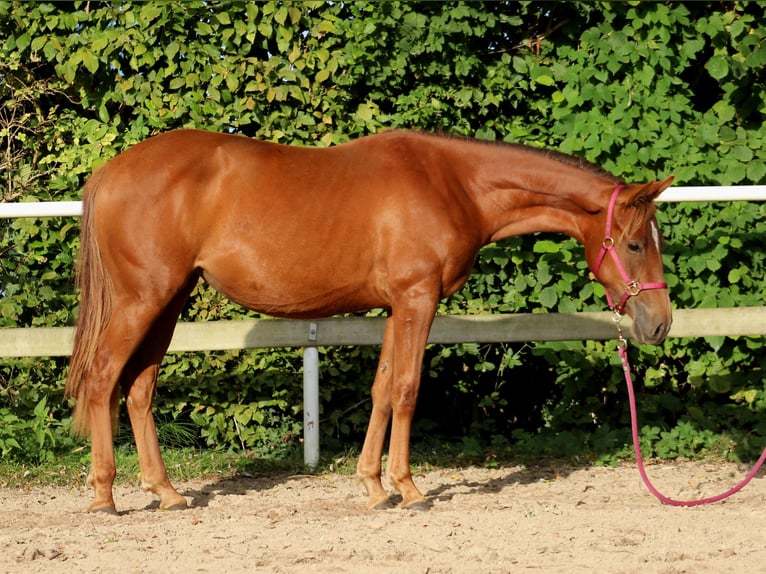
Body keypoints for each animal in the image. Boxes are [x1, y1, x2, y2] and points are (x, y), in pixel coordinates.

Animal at [66, 129, 672, 512]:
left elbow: (382, 388)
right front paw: (410, 489)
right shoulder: (418, 299)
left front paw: (375, 487)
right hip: (143, 299)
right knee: (102, 378)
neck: (454, 183)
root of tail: (112, 171)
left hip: (169, 301)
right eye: (635, 243)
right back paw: (104, 496)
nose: (659, 324)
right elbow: (406, 388)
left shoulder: (394, 306)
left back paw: (166, 492)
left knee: (138, 389)